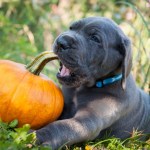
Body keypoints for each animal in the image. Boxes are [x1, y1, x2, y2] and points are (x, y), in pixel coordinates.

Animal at [35, 17, 150, 149]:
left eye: (95, 38)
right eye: (71, 28)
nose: (61, 42)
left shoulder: (89, 119)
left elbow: (63, 126)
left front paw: (39, 137)